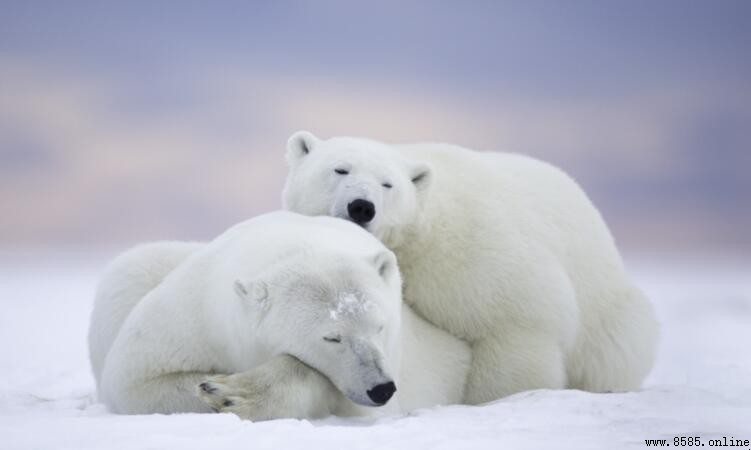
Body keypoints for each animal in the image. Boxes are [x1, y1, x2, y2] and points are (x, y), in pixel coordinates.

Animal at [89, 211, 470, 420]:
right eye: (332, 337)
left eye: (380, 326)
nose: (381, 388)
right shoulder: (196, 314)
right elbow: (136, 380)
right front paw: (216, 388)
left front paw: (233, 392)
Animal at [282, 131, 659, 404]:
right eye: (340, 169)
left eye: (388, 184)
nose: (362, 206)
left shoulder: (474, 255)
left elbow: (515, 323)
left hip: (607, 312)